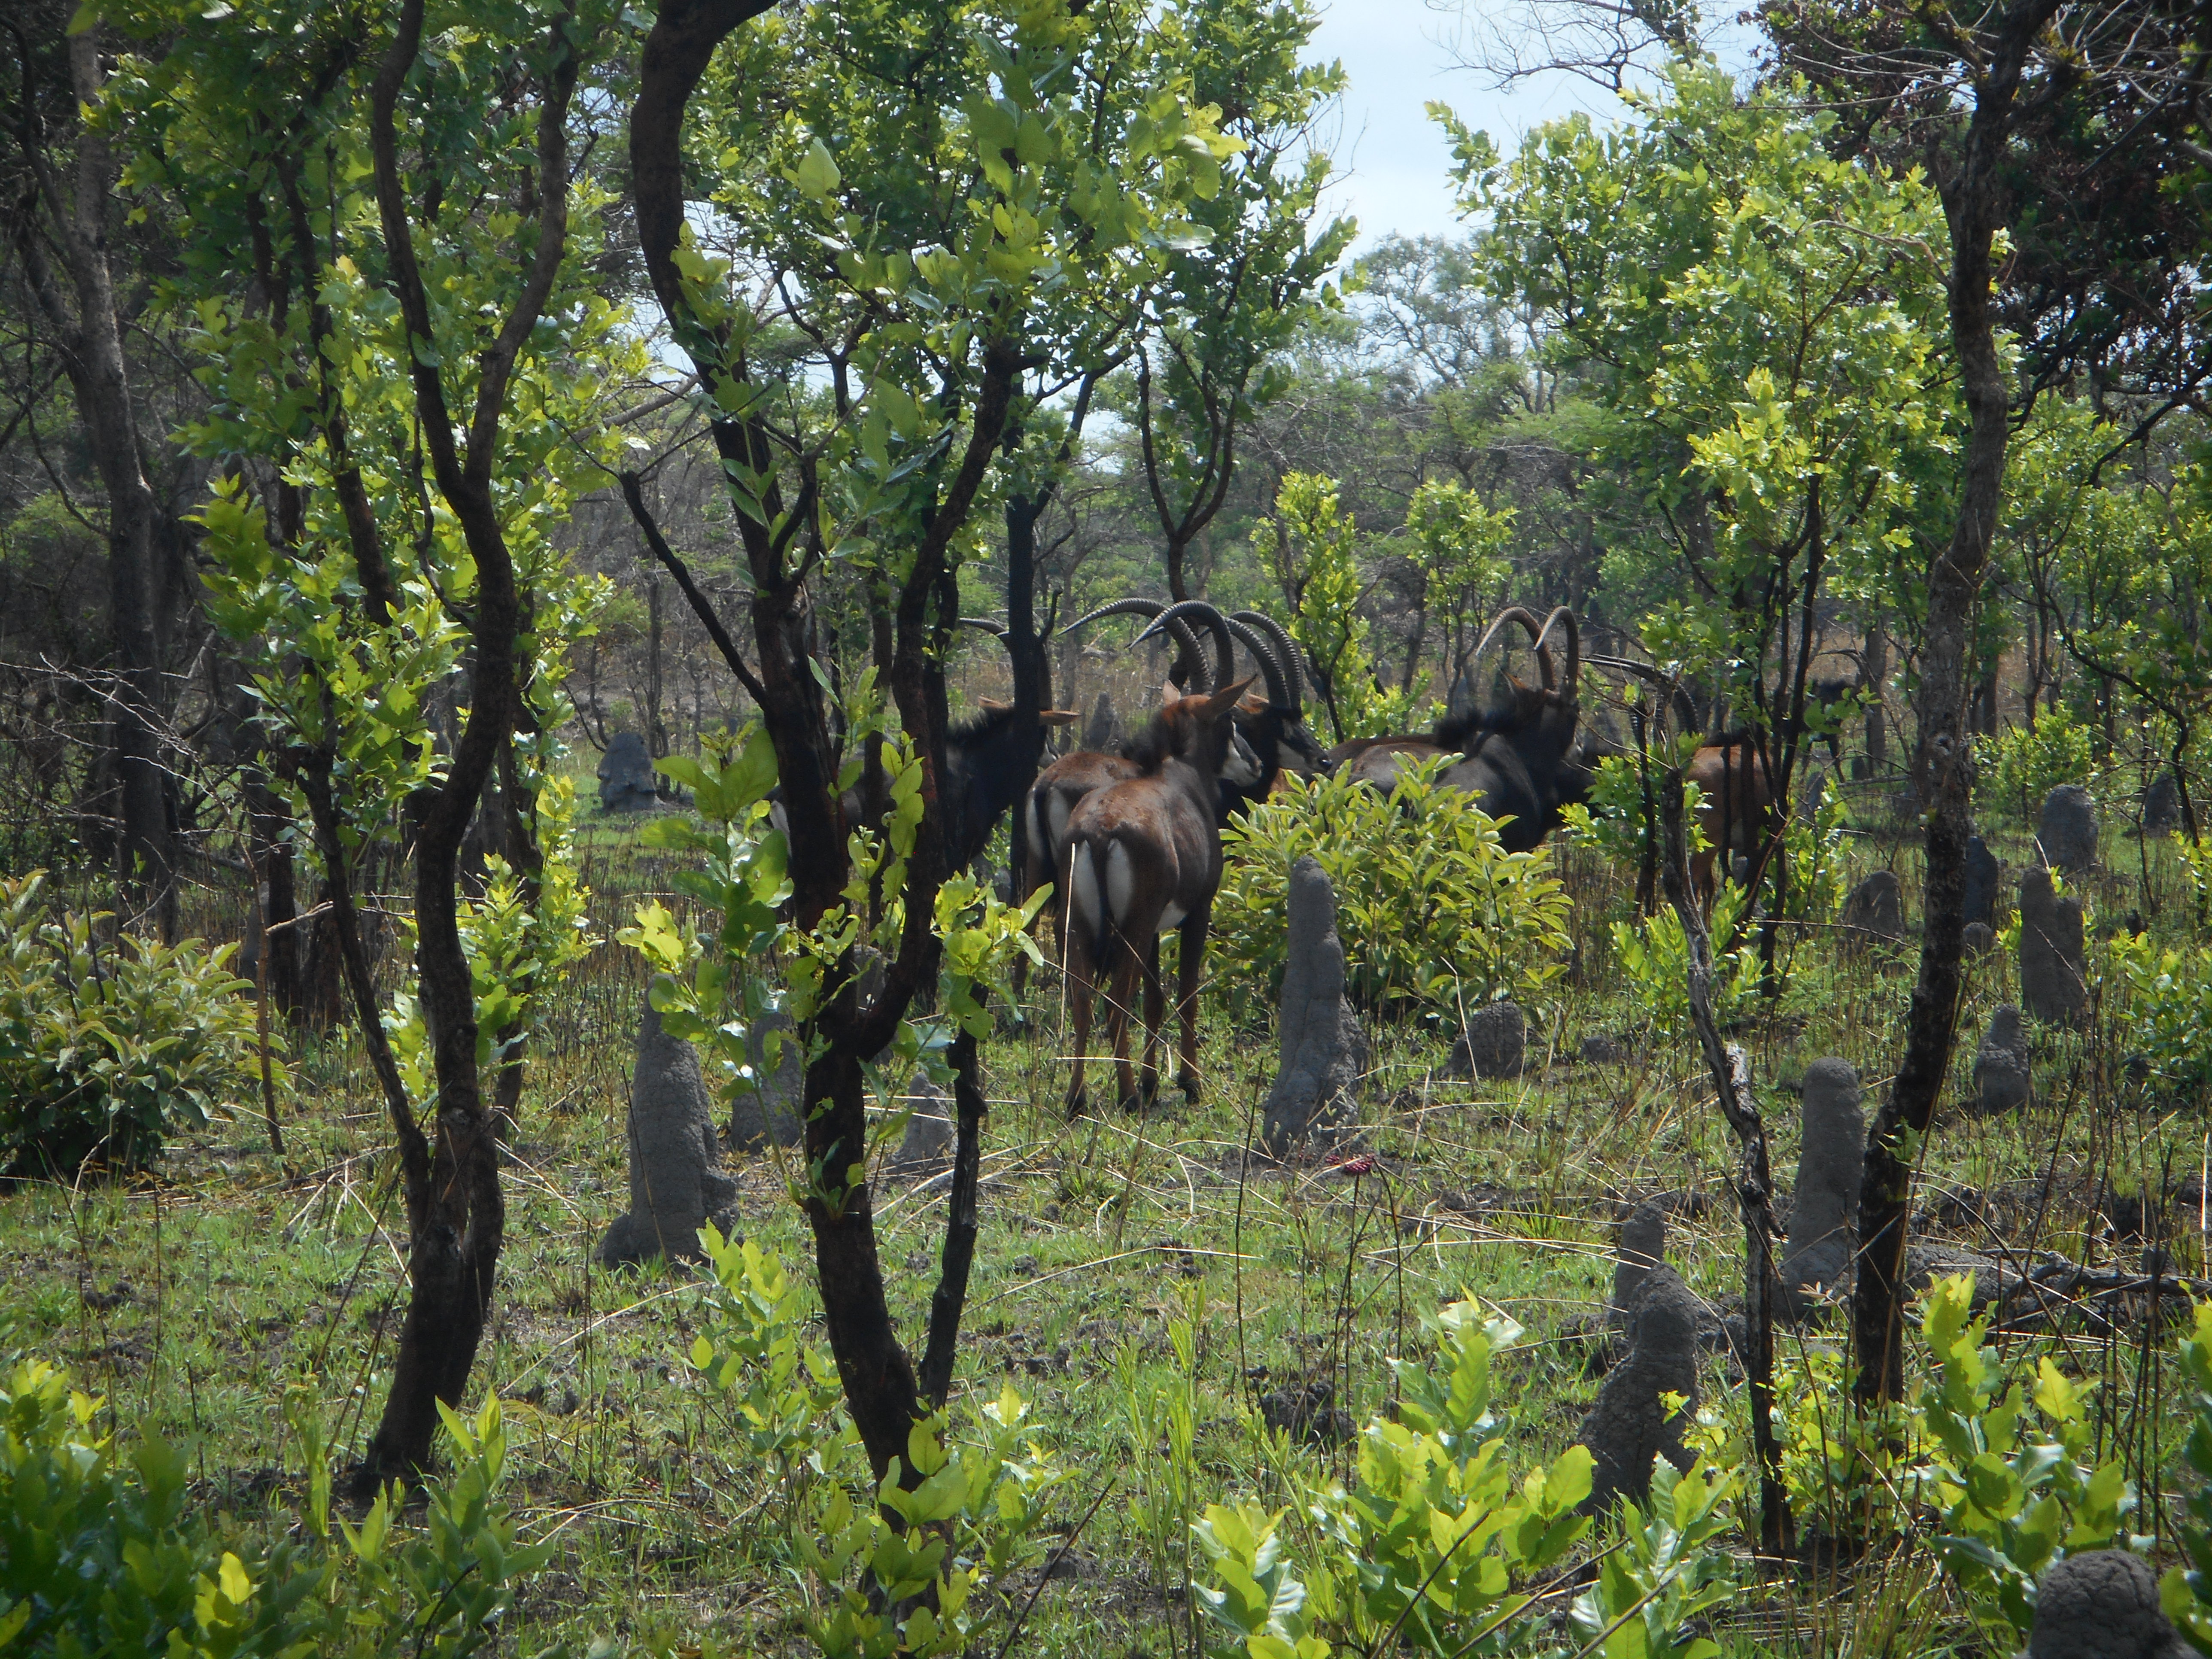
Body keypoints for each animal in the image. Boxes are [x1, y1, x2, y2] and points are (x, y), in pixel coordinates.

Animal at [1057, 672, 1256, 1119]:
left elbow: (1154, 999)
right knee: (1115, 1004)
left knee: (1083, 1002)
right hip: (1133, 924)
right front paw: (1189, 1083)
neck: (1182, 776)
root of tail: (1098, 831)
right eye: (1230, 717)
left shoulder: (1153, 932)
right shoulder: (1197, 912)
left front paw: (1153, 1082)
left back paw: (1077, 1098)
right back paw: (1128, 1096)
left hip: (1082, 923)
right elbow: (1186, 995)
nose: (1254, 765)